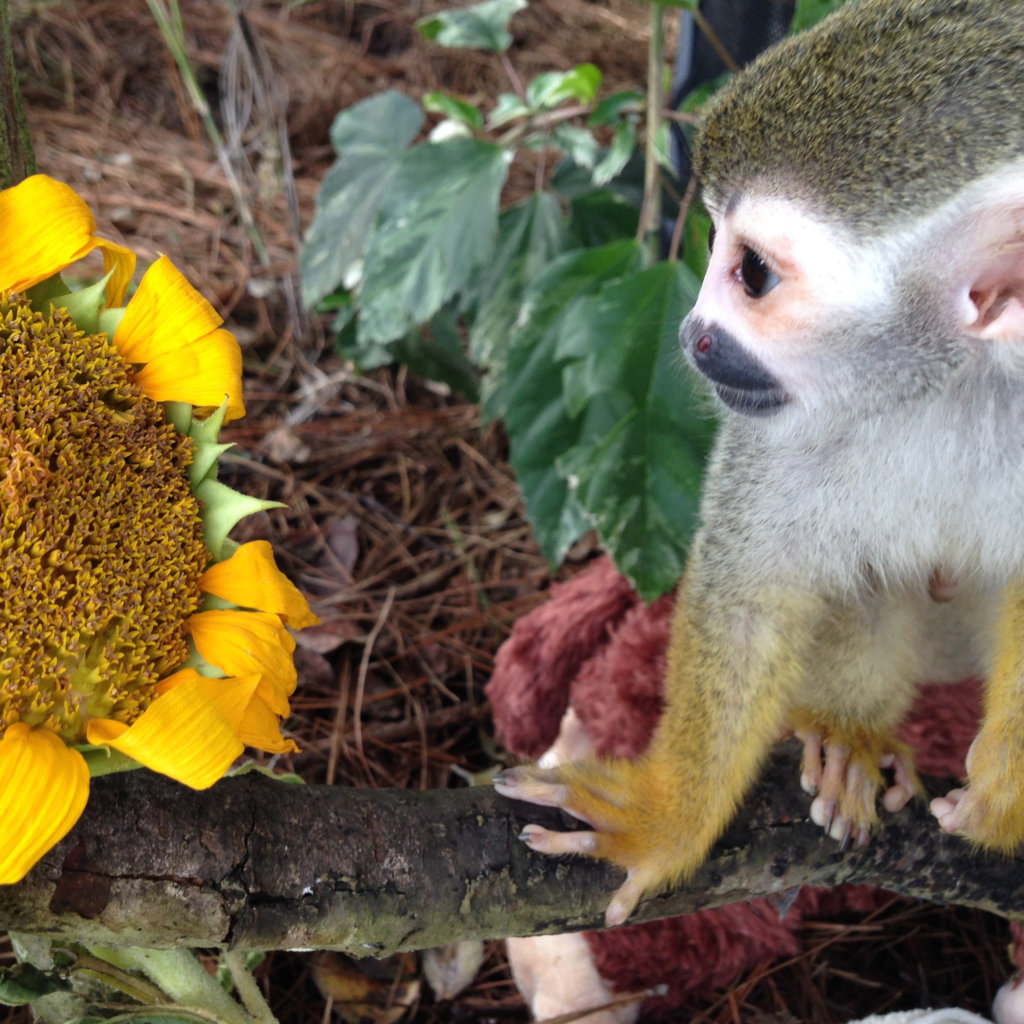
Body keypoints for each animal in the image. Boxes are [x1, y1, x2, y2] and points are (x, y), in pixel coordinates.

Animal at [494, 0, 1024, 928]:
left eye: (752, 272)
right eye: (709, 241)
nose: (691, 334)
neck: (958, 378)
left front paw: (1004, 797)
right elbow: (753, 585)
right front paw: (666, 819)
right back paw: (849, 733)